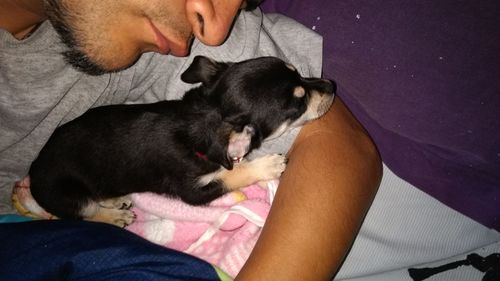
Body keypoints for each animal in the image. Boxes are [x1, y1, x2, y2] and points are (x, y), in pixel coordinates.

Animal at [28, 55, 336, 226]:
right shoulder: (193, 192)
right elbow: (232, 175)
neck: (204, 117)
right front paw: (267, 165)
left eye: (299, 73)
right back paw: (114, 216)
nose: (332, 85)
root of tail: (32, 171)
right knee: (86, 211)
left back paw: (116, 201)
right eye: (298, 103)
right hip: (66, 194)